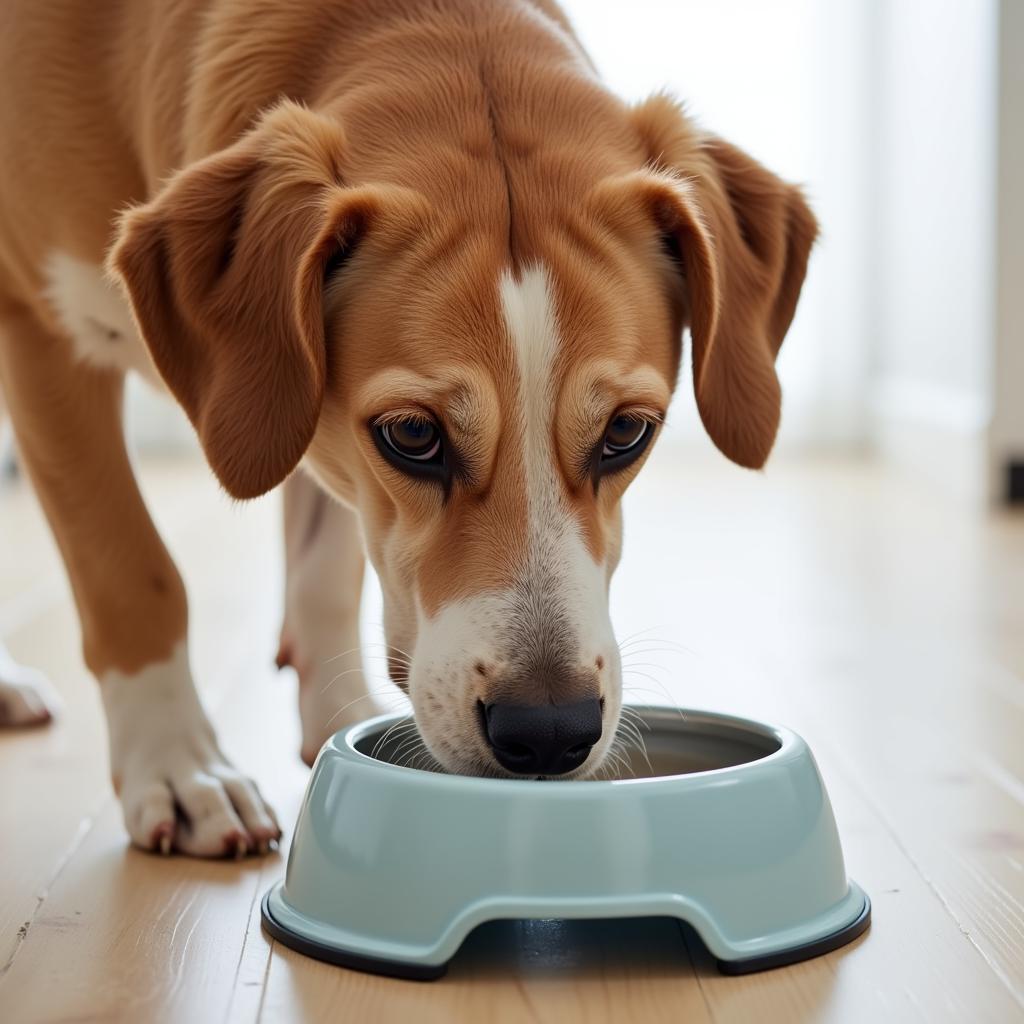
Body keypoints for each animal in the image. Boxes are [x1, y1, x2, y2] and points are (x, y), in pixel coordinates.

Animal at [0, 0, 815, 856]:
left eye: (627, 431)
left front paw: (337, 722)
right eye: (414, 436)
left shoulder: (324, 437)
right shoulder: (39, 333)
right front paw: (181, 766)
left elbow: (325, 572)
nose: (550, 731)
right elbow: (132, 573)